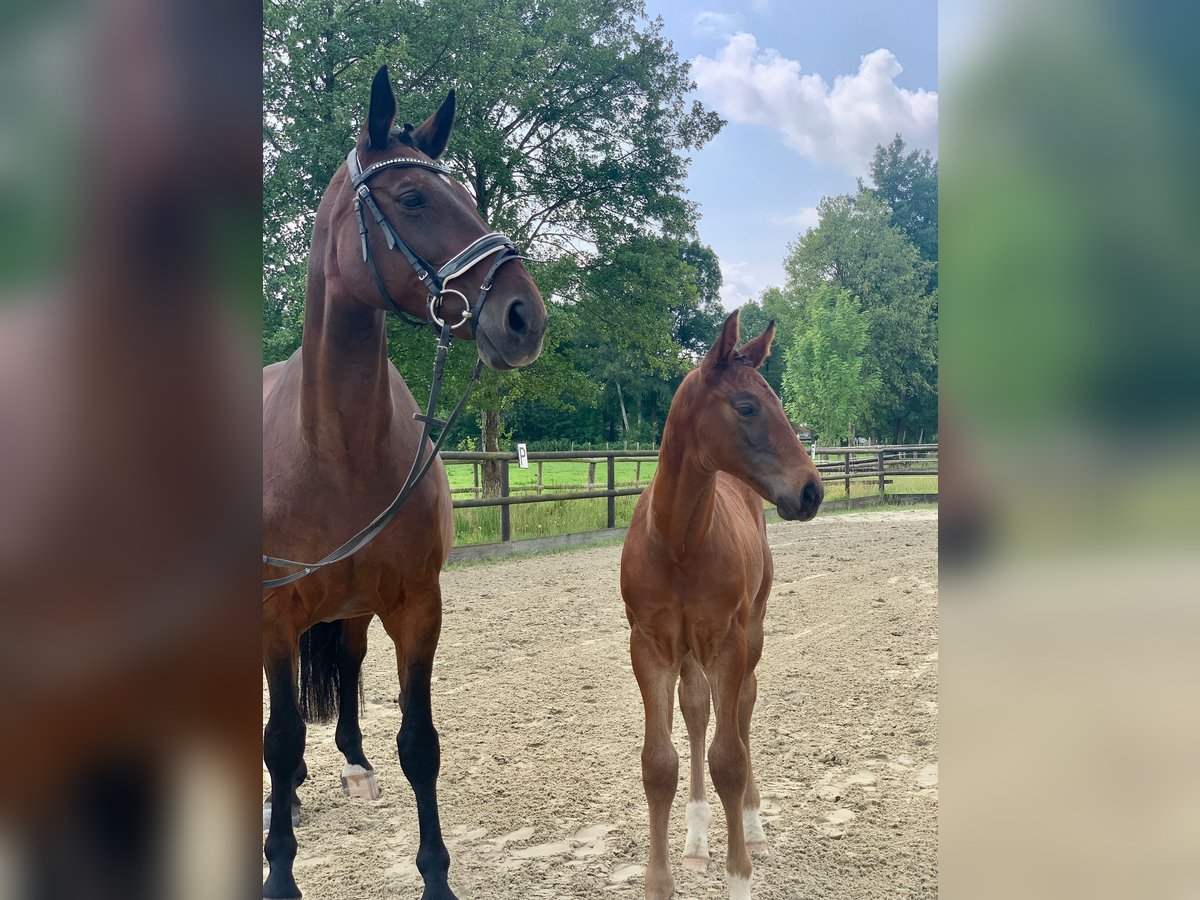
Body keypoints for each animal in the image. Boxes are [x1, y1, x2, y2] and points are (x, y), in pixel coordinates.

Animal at [619, 312, 825, 900]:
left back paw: (751, 828)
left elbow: (730, 760)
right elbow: (658, 764)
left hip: (750, 634)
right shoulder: (650, 647)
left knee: (744, 710)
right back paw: (694, 840)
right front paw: (660, 881)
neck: (679, 543)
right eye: (748, 406)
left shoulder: (728, 641)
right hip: (689, 652)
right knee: (697, 710)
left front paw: (740, 875)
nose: (811, 491)